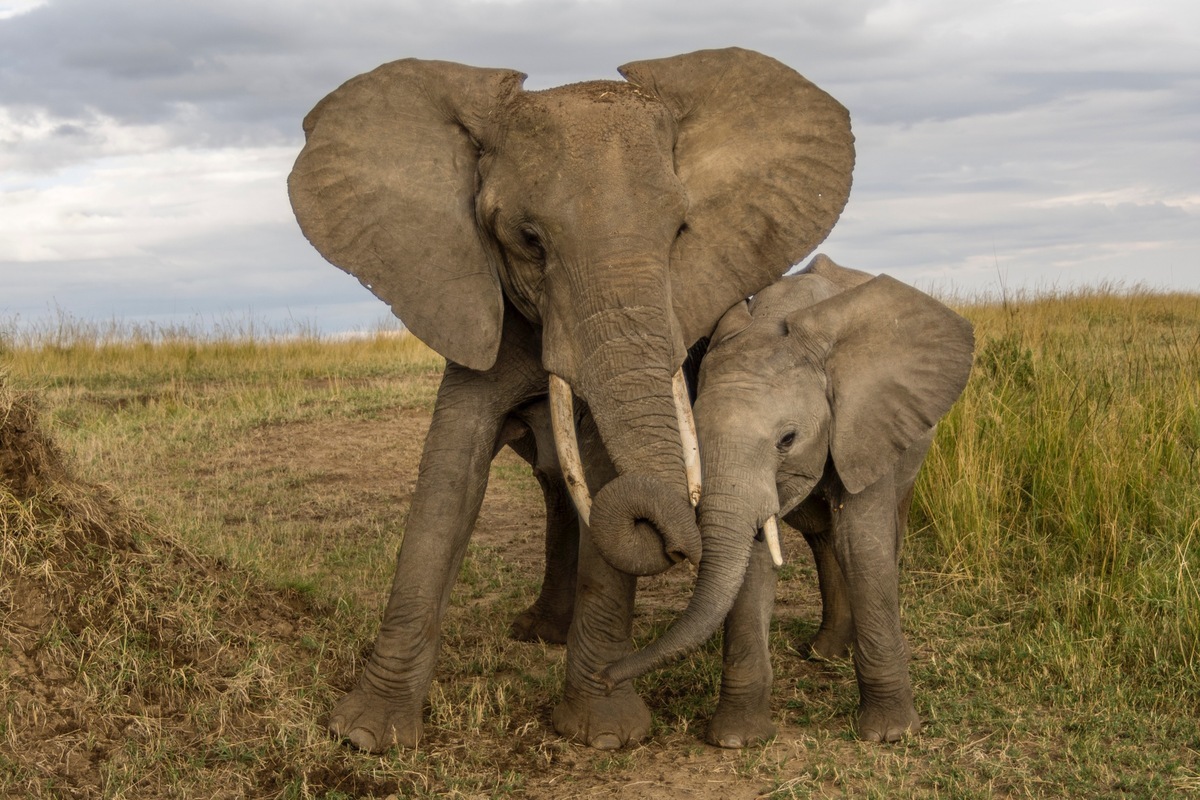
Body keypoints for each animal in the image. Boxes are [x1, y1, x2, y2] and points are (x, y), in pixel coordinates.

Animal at [287, 48, 855, 751]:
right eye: (529, 240)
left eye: (680, 232)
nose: (677, 540)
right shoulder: (475, 299)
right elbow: (449, 476)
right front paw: (366, 737)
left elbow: (602, 469)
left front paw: (605, 735)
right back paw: (540, 634)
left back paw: (826, 651)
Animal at [597, 255, 975, 747]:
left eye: (788, 439)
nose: (606, 678)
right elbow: (754, 561)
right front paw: (737, 740)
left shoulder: (864, 423)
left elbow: (863, 545)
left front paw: (890, 735)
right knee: (822, 538)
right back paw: (825, 654)